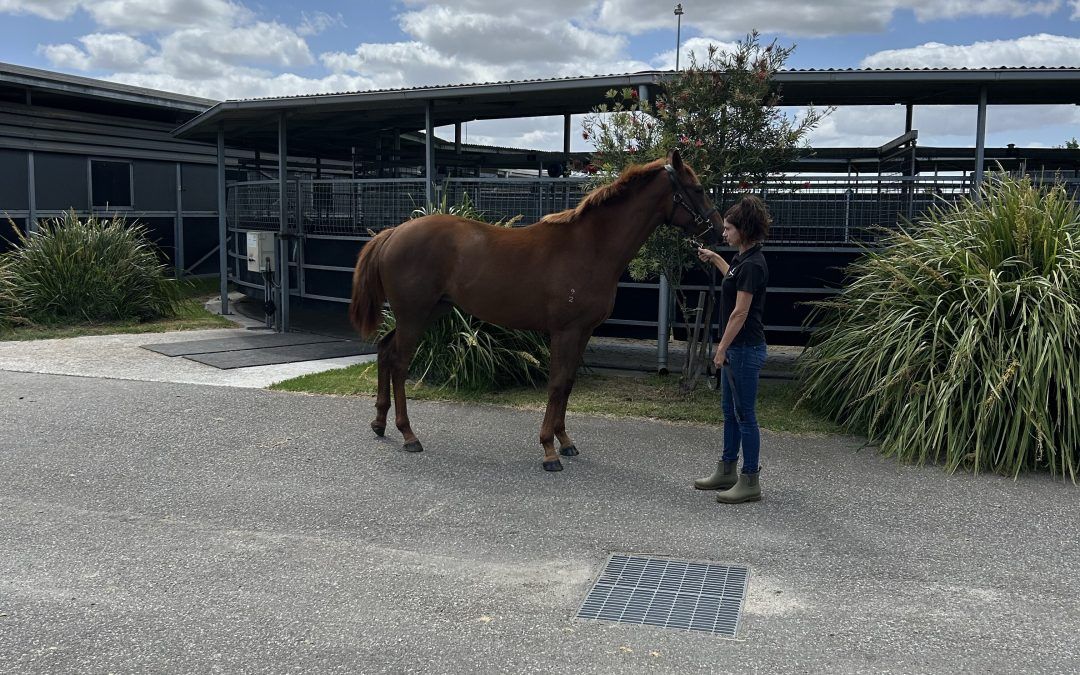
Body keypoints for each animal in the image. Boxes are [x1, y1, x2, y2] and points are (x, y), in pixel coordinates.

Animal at [347, 150, 717, 470]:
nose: (715, 228)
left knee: (385, 350)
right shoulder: (564, 332)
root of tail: (394, 232)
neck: (590, 248)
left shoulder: (583, 332)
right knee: (398, 363)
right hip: (414, 315)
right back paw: (408, 434)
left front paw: (565, 442)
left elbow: (567, 383)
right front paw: (549, 451)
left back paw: (379, 422)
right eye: (699, 188)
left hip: (428, 312)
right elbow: (556, 384)